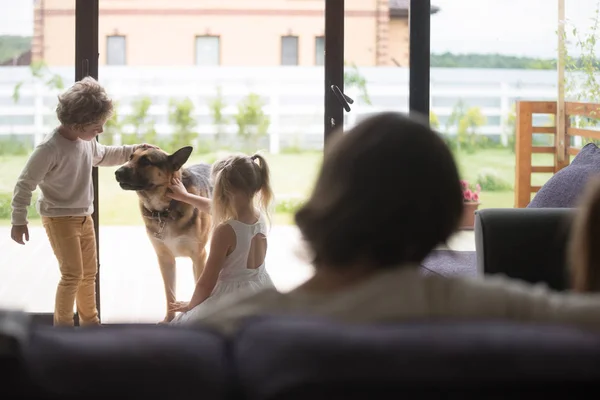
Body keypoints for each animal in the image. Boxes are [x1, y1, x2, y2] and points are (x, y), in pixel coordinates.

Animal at [115, 146, 213, 322]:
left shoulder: (199, 257)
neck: (164, 209)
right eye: (130, 157)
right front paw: (169, 319)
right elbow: (170, 294)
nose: (117, 172)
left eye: (146, 161)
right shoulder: (165, 260)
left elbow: (198, 286)